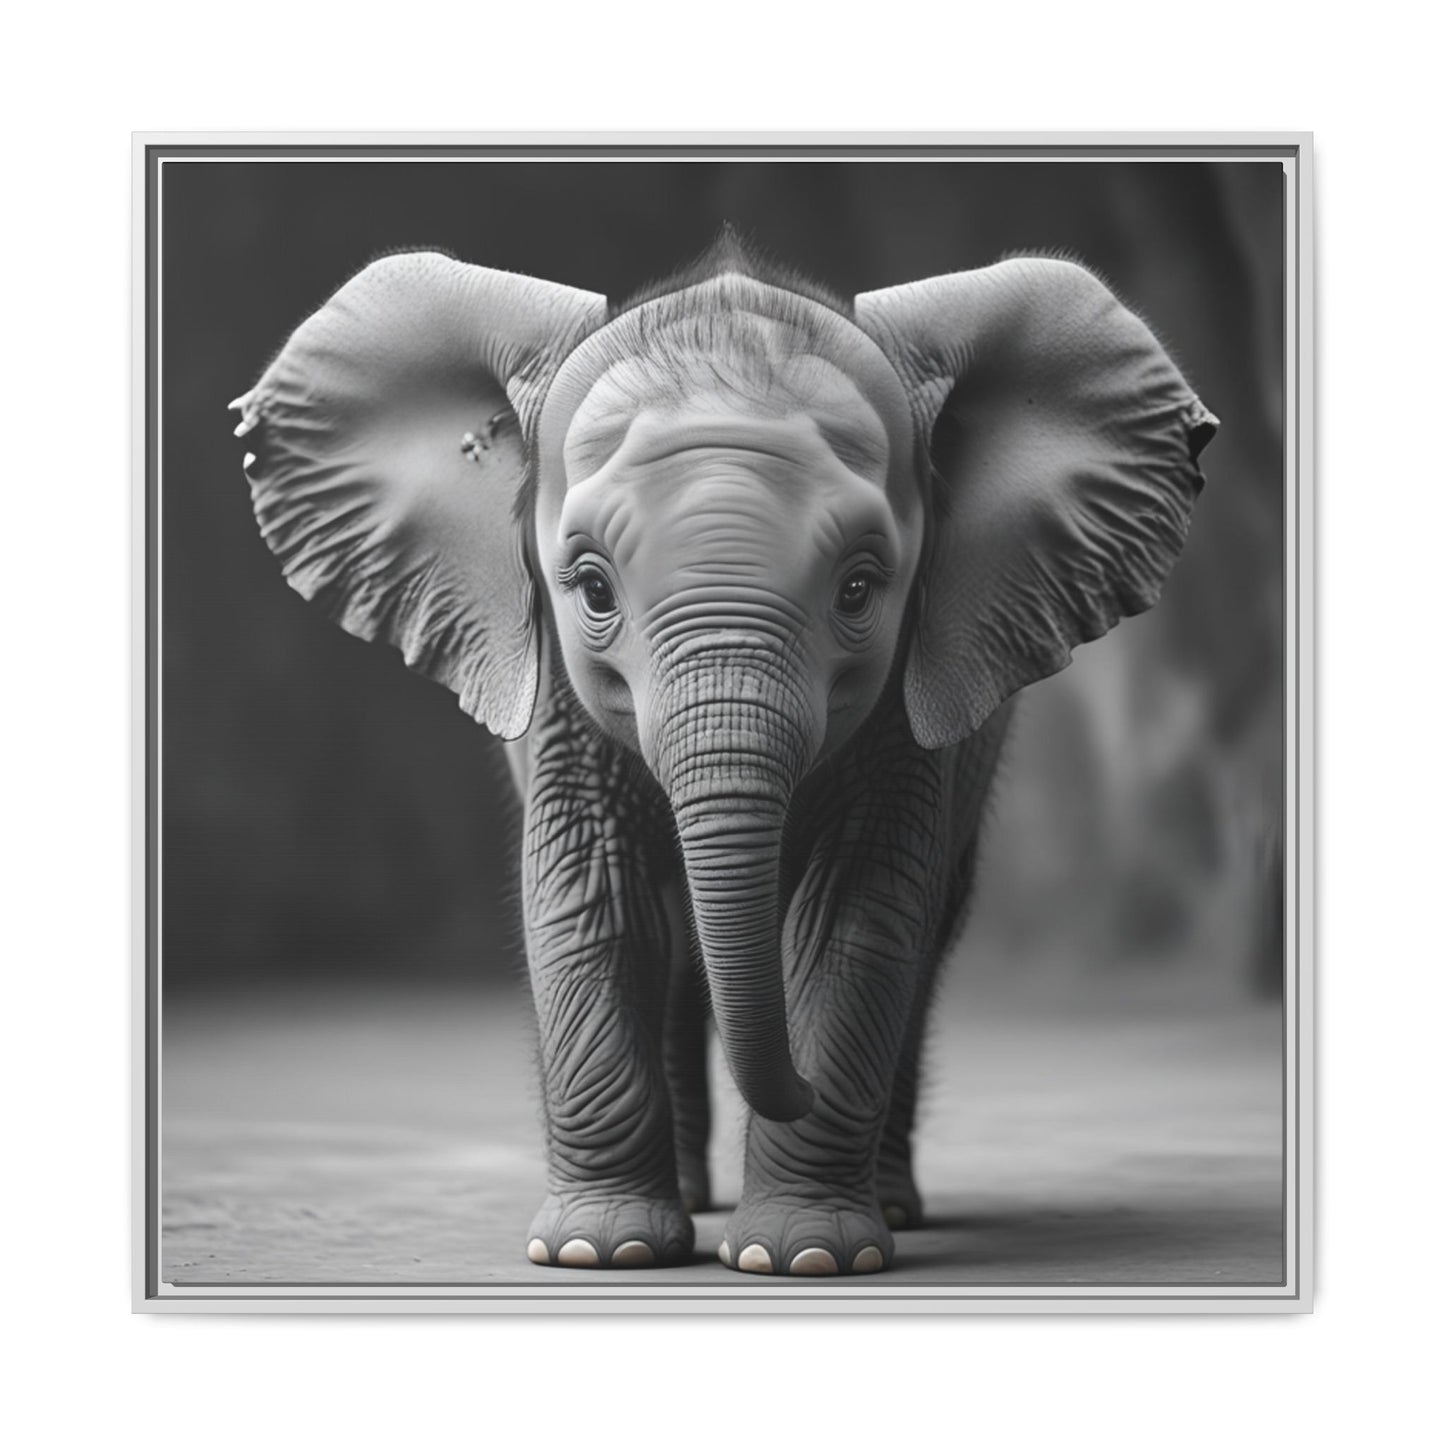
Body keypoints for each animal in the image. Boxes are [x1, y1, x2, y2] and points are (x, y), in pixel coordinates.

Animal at [232, 231, 1216, 1276]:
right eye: (590, 587)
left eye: (860, 588)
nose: (796, 1090)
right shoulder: (556, 694)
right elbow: (594, 893)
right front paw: (598, 1251)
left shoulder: (907, 693)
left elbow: (857, 911)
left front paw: (805, 1257)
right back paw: (691, 1204)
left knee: (921, 935)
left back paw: (888, 1205)